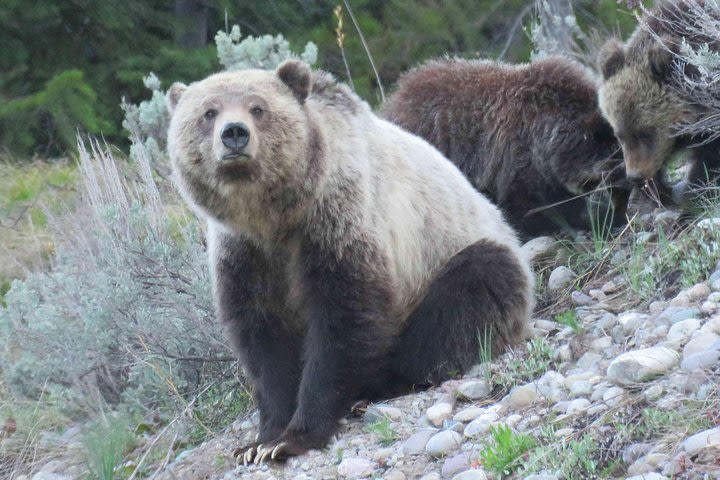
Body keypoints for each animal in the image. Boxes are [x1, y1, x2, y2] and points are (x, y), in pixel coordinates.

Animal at [165, 62, 536, 464]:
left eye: (258, 108)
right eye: (209, 112)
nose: (234, 133)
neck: (273, 217)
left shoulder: (338, 220)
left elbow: (344, 319)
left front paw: (295, 435)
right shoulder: (245, 256)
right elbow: (264, 340)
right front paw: (259, 442)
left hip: (451, 257)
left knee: (472, 291)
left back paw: (389, 382)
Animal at [382, 57, 632, 237]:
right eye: (615, 154)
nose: (628, 184)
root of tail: (393, 102)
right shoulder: (518, 161)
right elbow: (532, 207)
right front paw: (596, 219)